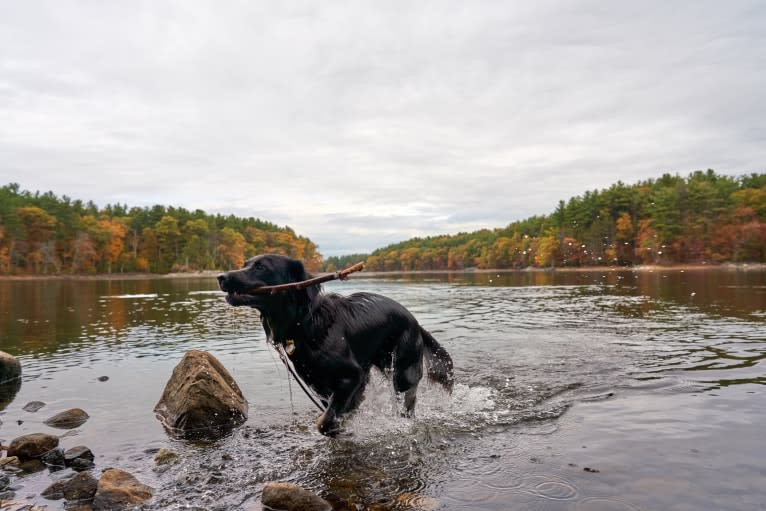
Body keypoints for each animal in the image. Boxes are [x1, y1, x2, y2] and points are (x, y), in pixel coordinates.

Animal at [218, 255, 456, 436]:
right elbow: (336, 411)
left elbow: (325, 422)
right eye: (246, 263)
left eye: (260, 267)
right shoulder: (322, 385)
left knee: (408, 404)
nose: (221, 276)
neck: (305, 322)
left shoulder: (352, 376)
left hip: (403, 373)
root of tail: (416, 323)